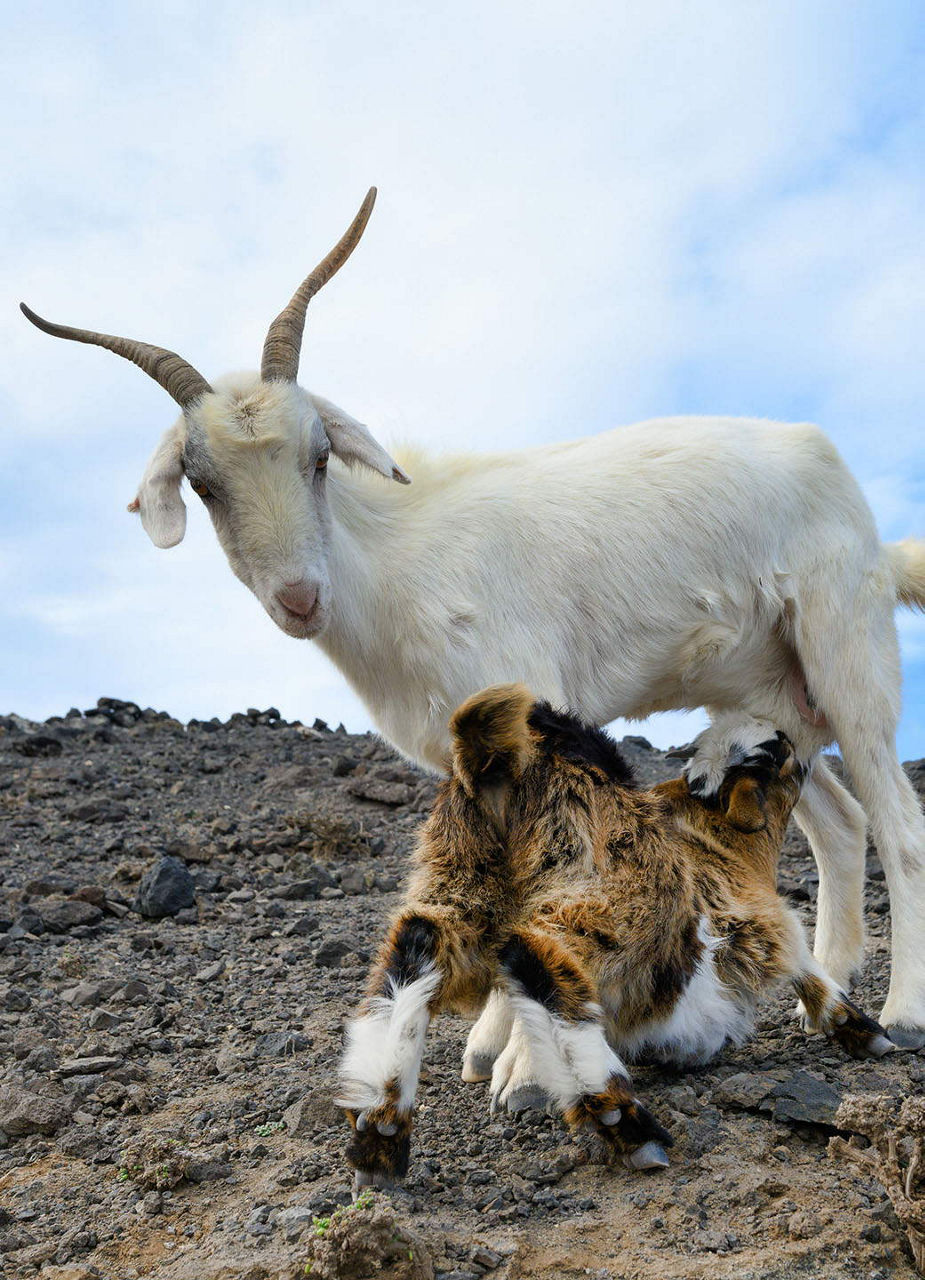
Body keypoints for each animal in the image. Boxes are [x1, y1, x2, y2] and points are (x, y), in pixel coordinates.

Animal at [18, 189, 925, 1054]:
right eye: (203, 485)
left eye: (319, 457)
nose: (300, 598)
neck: (395, 561)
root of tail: (834, 475)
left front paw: (506, 1046)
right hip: (771, 691)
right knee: (838, 825)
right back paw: (826, 994)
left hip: (844, 643)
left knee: (897, 824)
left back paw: (902, 1012)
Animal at [337, 686, 895, 1192]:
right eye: (776, 752)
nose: (802, 746)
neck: (722, 839)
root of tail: (502, 756)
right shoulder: (763, 917)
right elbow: (809, 969)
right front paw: (866, 1034)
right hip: (610, 889)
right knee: (536, 955)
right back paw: (624, 1123)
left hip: (458, 877)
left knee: (415, 948)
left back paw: (379, 1132)